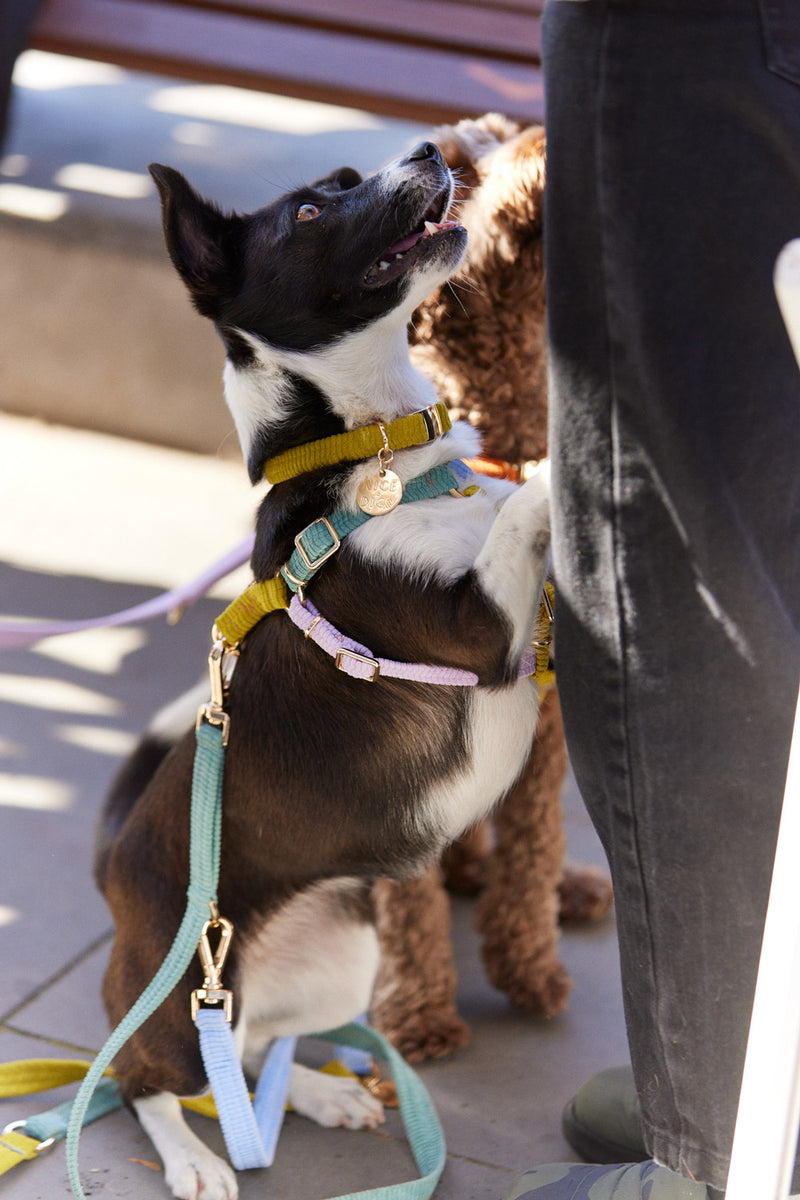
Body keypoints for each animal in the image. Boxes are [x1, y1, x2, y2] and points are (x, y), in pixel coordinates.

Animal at [98, 142, 551, 1200]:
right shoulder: (480, 628)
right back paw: (194, 1160)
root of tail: (110, 871)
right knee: (147, 1081)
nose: (424, 149)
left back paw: (313, 1094)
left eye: (348, 177)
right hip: (183, 998)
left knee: (254, 1046)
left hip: (340, 956)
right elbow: (531, 496)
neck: (382, 458)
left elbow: (513, 494)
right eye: (309, 213)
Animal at [369, 117, 614, 1065]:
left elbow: (534, 846)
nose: (545, 134)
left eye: (501, 137)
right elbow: (407, 902)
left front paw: (530, 966)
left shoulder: (548, 735)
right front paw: (417, 1014)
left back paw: (569, 890)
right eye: (466, 167)